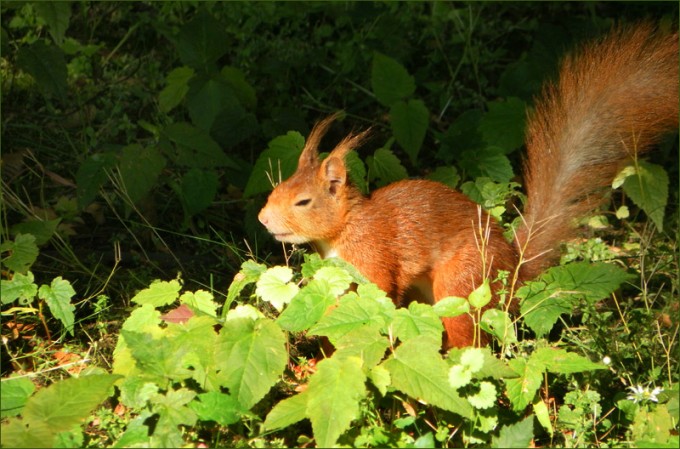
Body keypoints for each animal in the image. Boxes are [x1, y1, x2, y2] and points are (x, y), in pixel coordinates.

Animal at [258, 23, 679, 348]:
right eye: (276, 189)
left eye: (303, 202)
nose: (262, 218)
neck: (346, 227)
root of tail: (513, 271)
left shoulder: (374, 257)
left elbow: (378, 295)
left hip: (462, 282)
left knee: (469, 339)